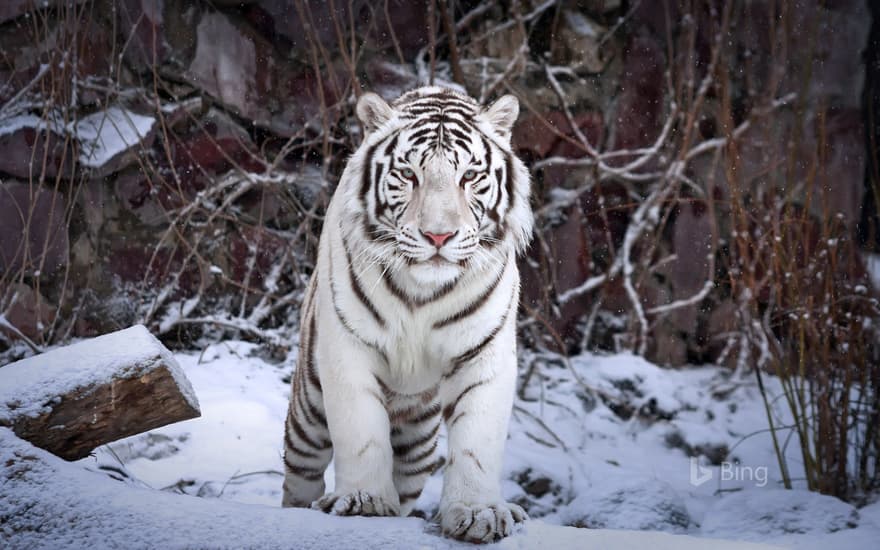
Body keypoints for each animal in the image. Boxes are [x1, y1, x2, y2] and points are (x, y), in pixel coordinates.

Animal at [282, 86, 532, 544]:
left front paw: (479, 512)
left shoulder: (485, 354)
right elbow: (361, 431)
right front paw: (362, 501)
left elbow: (477, 443)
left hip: (417, 446)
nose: (438, 236)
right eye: (409, 175)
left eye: (469, 176)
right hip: (308, 413)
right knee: (299, 478)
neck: (423, 292)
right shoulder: (347, 348)